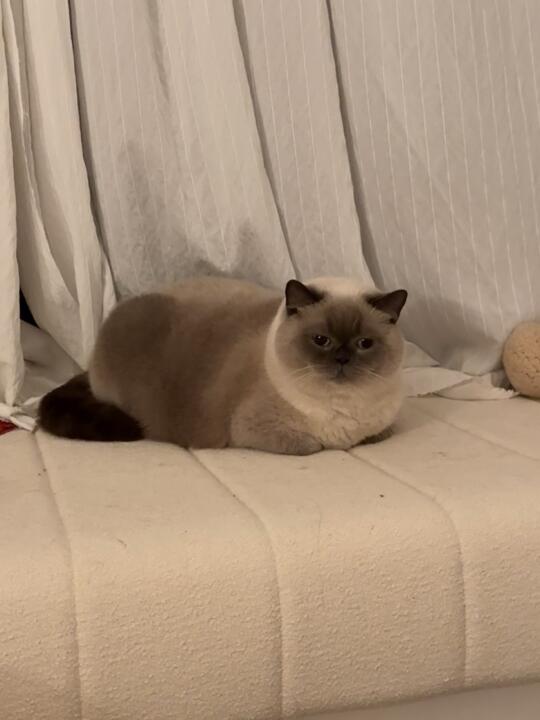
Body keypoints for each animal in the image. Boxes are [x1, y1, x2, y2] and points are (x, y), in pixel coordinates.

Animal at [39, 276, 408, 455]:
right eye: (321, 340)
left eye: (364, 344)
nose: (342, 359)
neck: (343, 407)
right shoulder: (254, 430)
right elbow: (313, 446)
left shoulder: (381, 428)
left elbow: (375, 435)